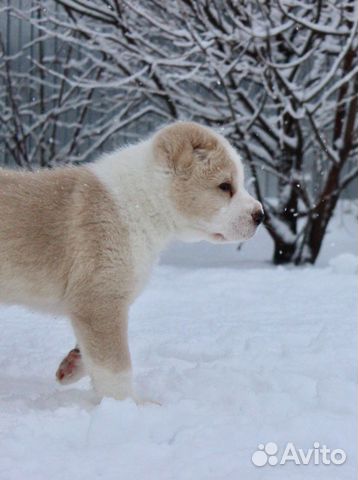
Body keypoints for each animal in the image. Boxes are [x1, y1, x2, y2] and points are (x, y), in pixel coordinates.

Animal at [0, 122, 262, 400]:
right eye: (225, 186)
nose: (261, 215)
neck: (142, 202)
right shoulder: (100, 300)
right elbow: (115, 367)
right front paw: (128, 404)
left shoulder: (92, 306)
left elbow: (91, 352)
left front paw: (71, 365)